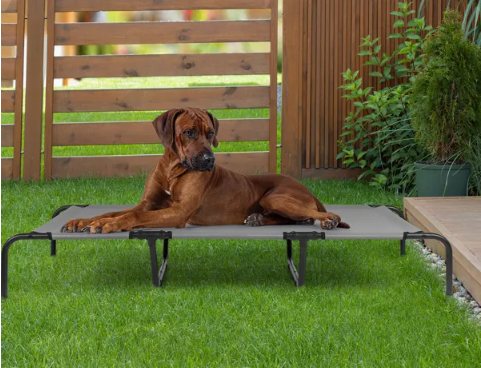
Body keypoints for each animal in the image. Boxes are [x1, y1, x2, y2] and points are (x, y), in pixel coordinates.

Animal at [61, 108, 348, 233]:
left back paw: (329, 220)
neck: (173, 169)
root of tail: (307, 188)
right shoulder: (148, 203)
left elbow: (132, 217)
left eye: (211, 133)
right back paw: (258, 219)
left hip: (276, 197)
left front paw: (109, 225)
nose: (209, 159)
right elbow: (113, 211)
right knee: (296, 219)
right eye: (188, 132)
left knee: (318, 215)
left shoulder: (178, 213)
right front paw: (84, 220)